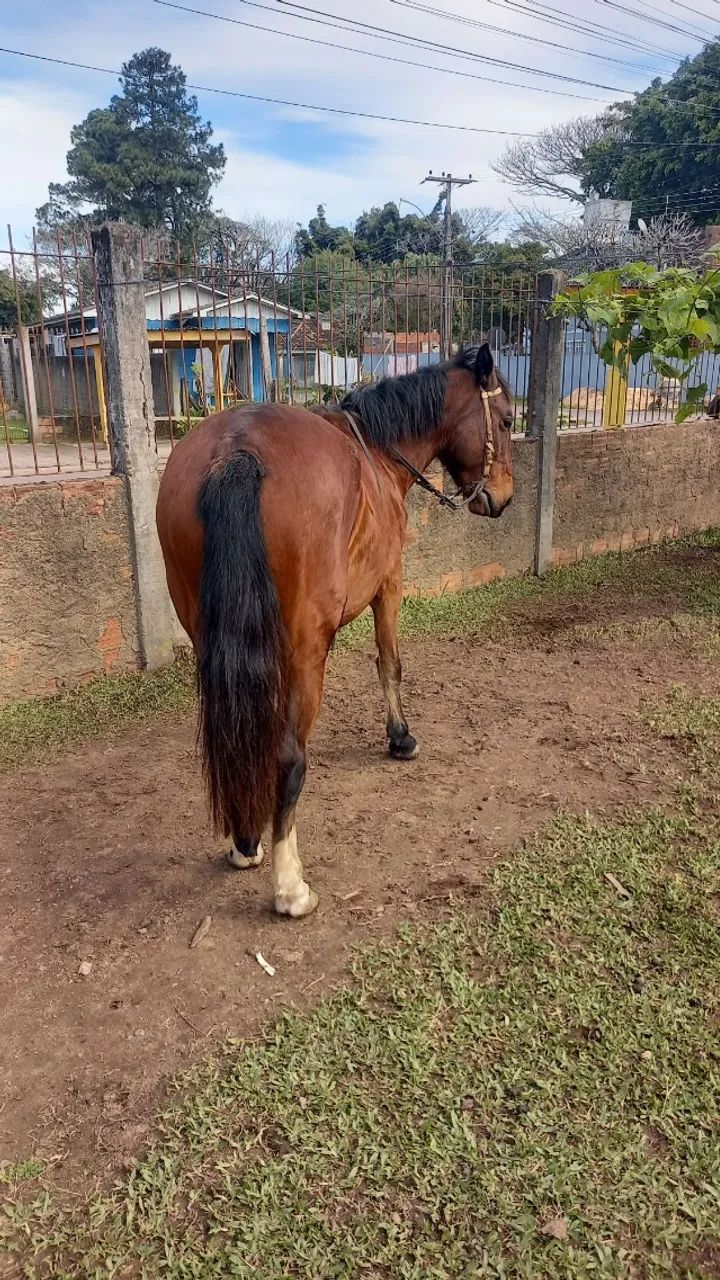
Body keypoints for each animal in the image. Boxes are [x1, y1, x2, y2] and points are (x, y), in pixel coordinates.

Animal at [156, 343, 514, 919]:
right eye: (505, 419)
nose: (502, 497)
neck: (380, 453)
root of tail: (237, 452)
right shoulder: (390, 583)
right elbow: (389, 663)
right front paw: (400, 737)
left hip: (212, 639)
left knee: (237, 732)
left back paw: (245, 841)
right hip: (307, 648)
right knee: (287, 756)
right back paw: (288, 884)